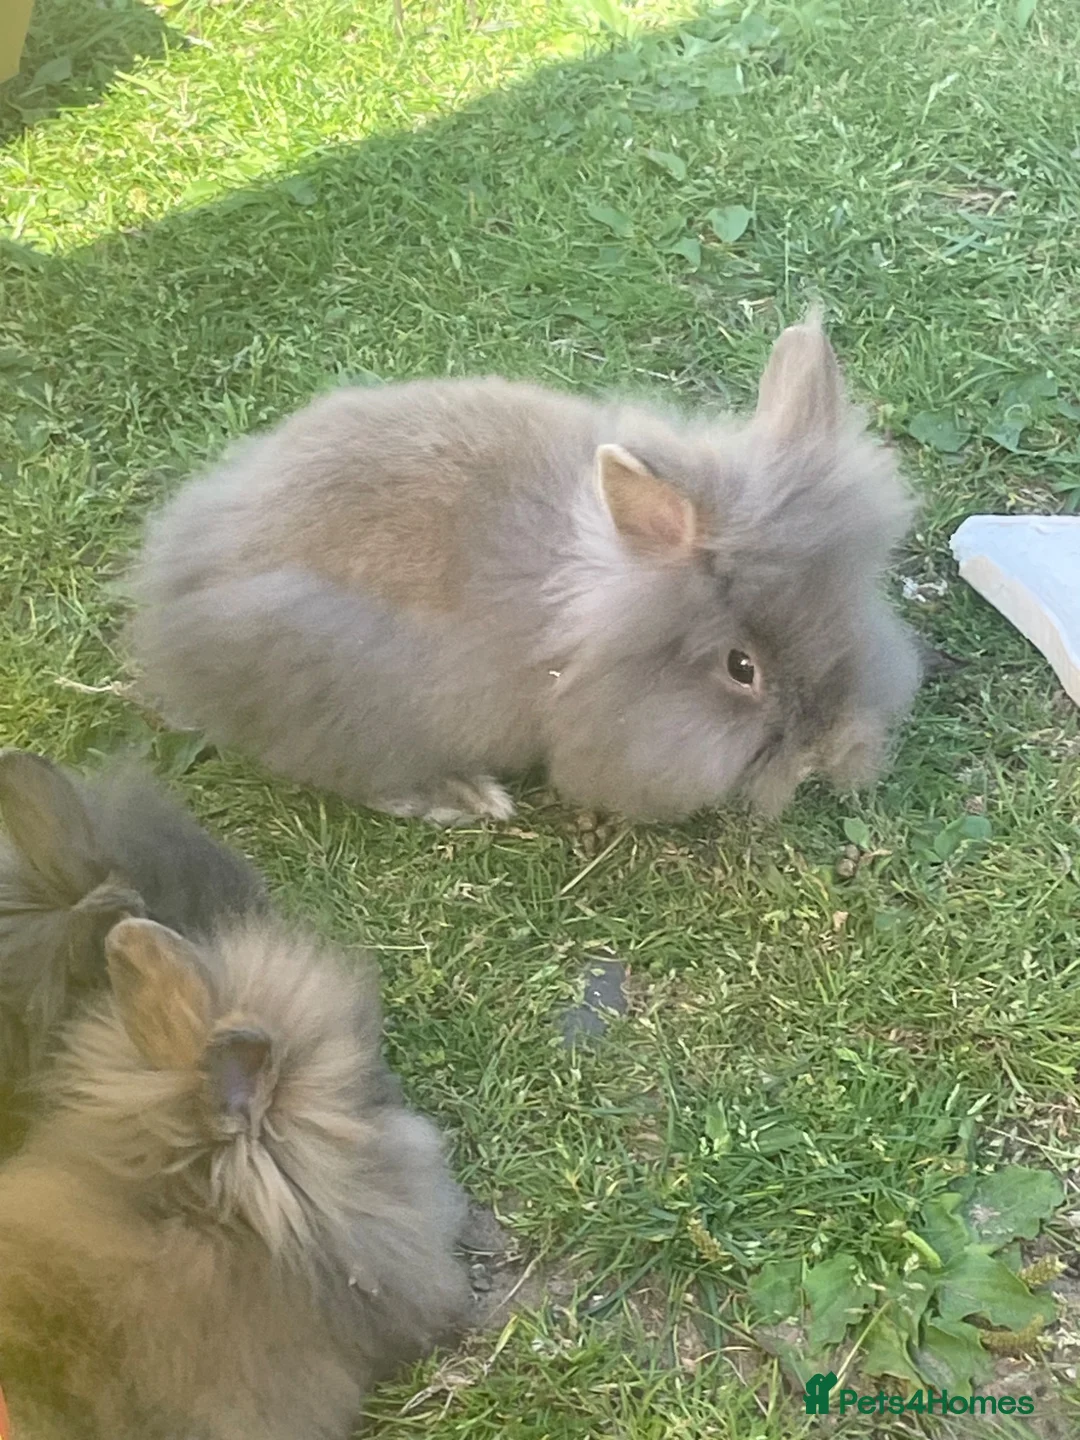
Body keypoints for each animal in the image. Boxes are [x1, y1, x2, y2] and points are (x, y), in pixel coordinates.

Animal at [125, 310, 923, 826]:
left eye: (850, 612)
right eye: (741, 668)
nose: (826, 749)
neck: (575, 624)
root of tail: (176, 585)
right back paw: (462, 797)